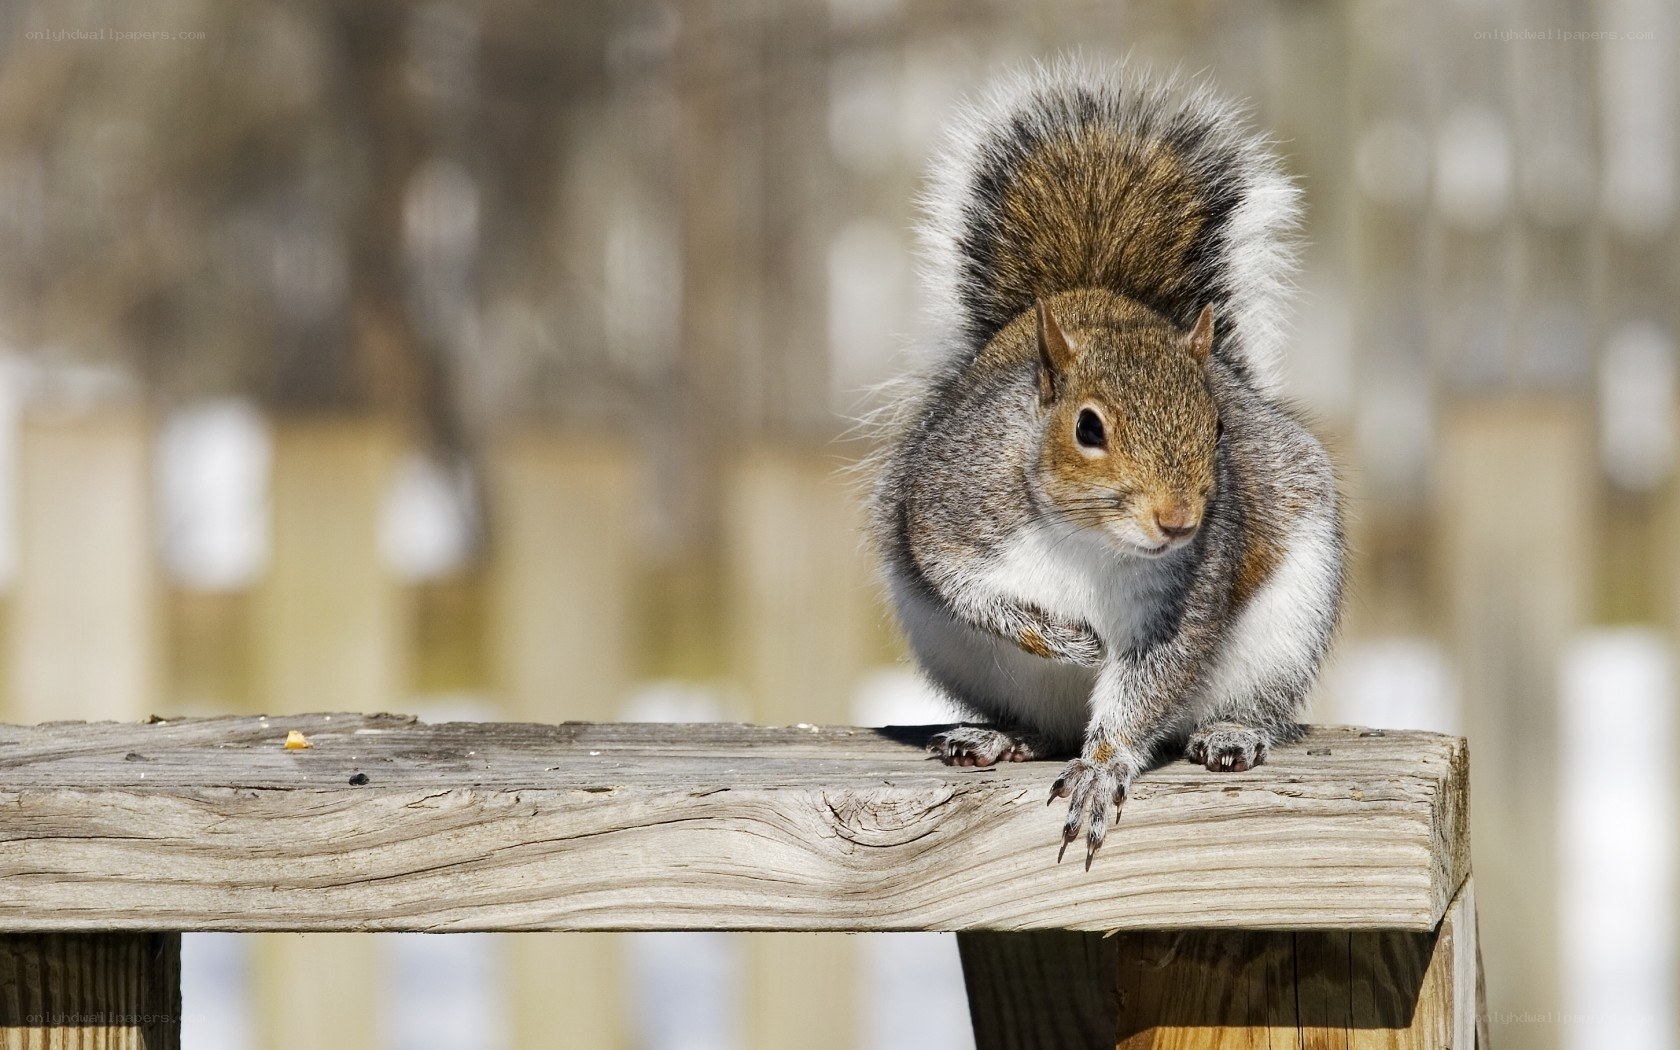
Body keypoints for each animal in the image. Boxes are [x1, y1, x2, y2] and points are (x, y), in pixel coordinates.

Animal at [869, 60, 1344, 867]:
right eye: (1088, 428)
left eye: (1219, 425)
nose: (1179, 520)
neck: (1085, 538)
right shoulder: (947, 504)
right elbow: (960, 583)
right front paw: (1060, 636)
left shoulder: (1185, 593)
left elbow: (1152, 681)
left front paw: (1102, 768)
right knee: (1035, 721)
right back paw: (998, 735)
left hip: (1288, 627)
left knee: (1253, 706)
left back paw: (1234, 733)